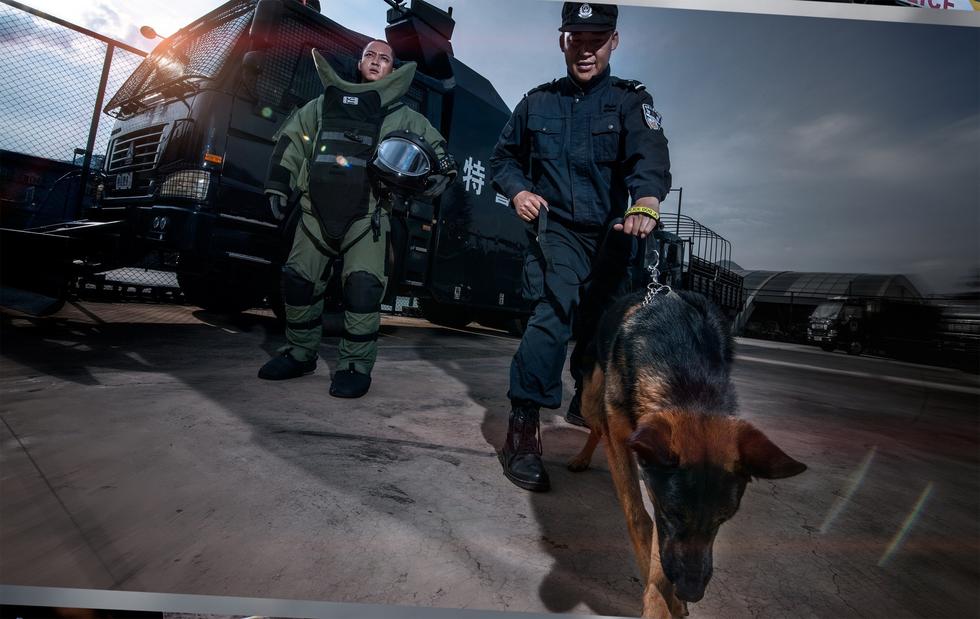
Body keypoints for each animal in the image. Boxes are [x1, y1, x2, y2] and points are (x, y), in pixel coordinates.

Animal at [572, 290, 808, 619]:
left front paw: (663, 601)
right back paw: (580, 458)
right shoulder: (625, 442)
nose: (691, 592)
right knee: (596, 426)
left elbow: (659, 546)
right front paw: (660, 601)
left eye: (723, 519)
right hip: (589, 401)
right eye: (673, 513)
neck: (686, 381)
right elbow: (639, 517)